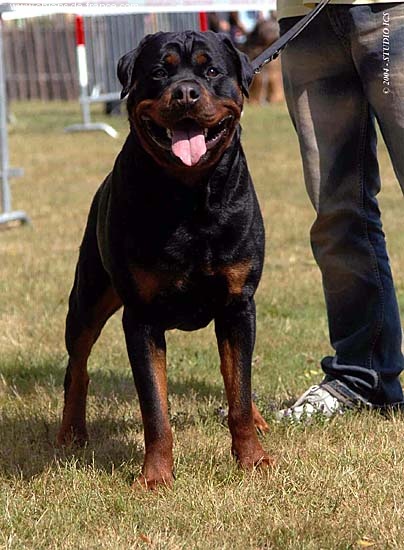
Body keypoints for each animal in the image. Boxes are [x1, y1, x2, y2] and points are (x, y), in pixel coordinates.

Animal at [56, 30, 272, 490]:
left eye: (212, 70)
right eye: (158, 71)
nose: (186, 92)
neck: (189, 197)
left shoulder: (238, 305)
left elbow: (239, 390)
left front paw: (253, 459)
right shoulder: (141, 317)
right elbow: (155, 408)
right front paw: (155, 476)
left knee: (236, 378)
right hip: (87, 300)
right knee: (77, 367)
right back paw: (71, 432)